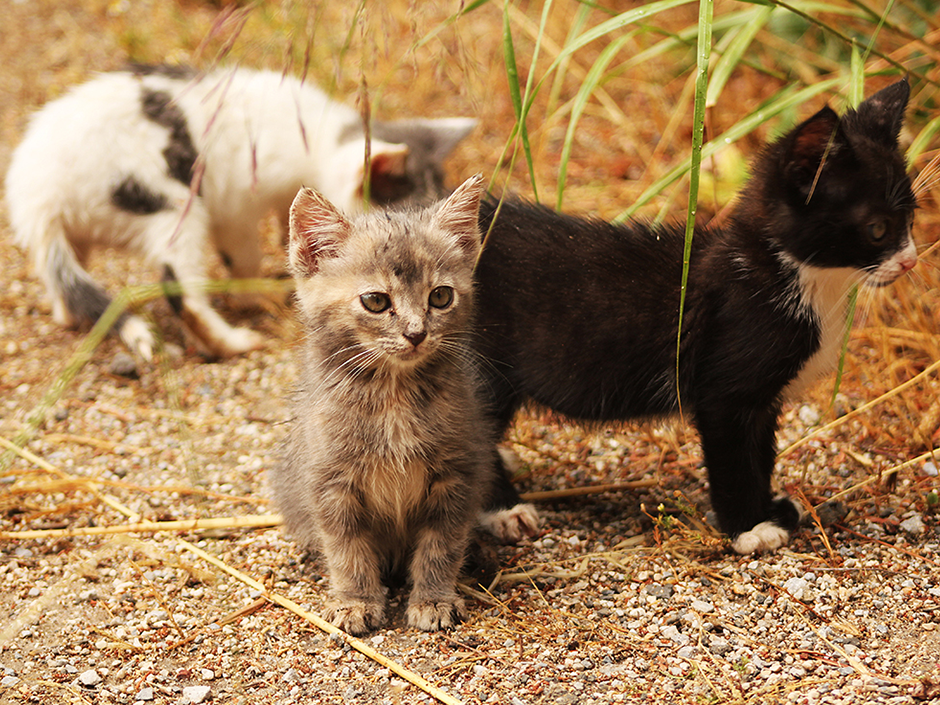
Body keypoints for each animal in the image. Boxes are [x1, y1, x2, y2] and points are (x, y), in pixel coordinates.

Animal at [5, 64, 478, 360]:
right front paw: (256, 294)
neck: (319, 137)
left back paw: (68, 312)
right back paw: (233, 341)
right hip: (173, 205)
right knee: (180, 289)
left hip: (80, 233)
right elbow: (243, 255)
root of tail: (36, 195)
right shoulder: (236, 205)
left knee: (66, 281)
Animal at [270, 175, 492, 632]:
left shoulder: (457, 473)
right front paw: (355, 601)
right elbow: (347, 550)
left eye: (440, 297)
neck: (393, 395)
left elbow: (441, 545)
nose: (416, 333)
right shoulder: (330, 481)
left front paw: (434, 599)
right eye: (376, 301)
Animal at [474, 75, 916, 552]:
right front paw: (748, 528)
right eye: (877, 229)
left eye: (911, 219)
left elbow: (760, 454)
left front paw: (772, 509)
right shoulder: (724, 390)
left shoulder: (763, 401)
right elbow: (733, 461)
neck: (797, 279)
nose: (910, 260)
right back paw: (505, 510)